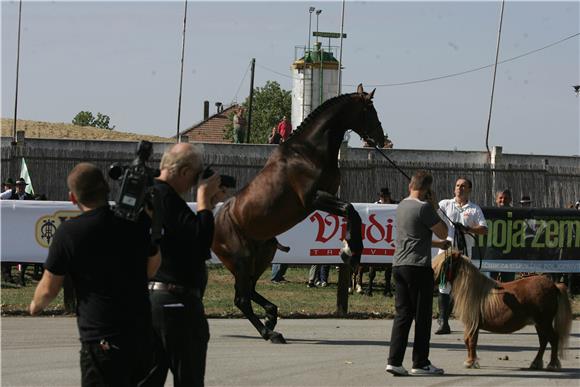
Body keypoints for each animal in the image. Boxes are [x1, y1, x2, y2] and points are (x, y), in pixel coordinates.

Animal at [212, 84, 386, 342]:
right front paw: (350, 253)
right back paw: (269, 331)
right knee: (242, 298)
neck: (308, 152)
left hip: (263, 254)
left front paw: (348, 249)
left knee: (249, 290)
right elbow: (350, 210)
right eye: (369, 110)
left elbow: (350, 212)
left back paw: (271, 316)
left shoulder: (326, 197)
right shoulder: (313, 199)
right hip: (241, 259)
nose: (381, 138)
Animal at [430, 253, 572, 372]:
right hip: (539, 324)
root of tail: (554, 285)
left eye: (444, 263)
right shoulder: (472, 325)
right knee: (543, 341)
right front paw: (471, 361)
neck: (474, 291)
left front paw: (470, 362)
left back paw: (552, 365)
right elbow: (469, 341)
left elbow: (470, 341)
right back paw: (536, 363)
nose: (432, 277)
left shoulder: (472, 324)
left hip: (544, 322)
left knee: (553, 339)